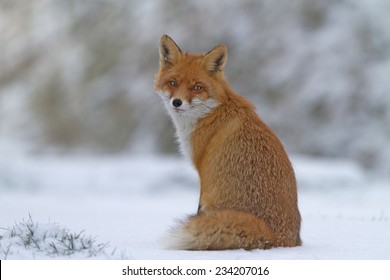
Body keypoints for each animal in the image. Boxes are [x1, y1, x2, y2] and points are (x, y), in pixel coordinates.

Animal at [154, 34, 300, 250]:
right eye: (172, 83)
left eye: (197, 87)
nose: (177, 102)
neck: (212, 112)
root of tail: (278, 238)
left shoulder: (203, 174)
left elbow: (198, 210)